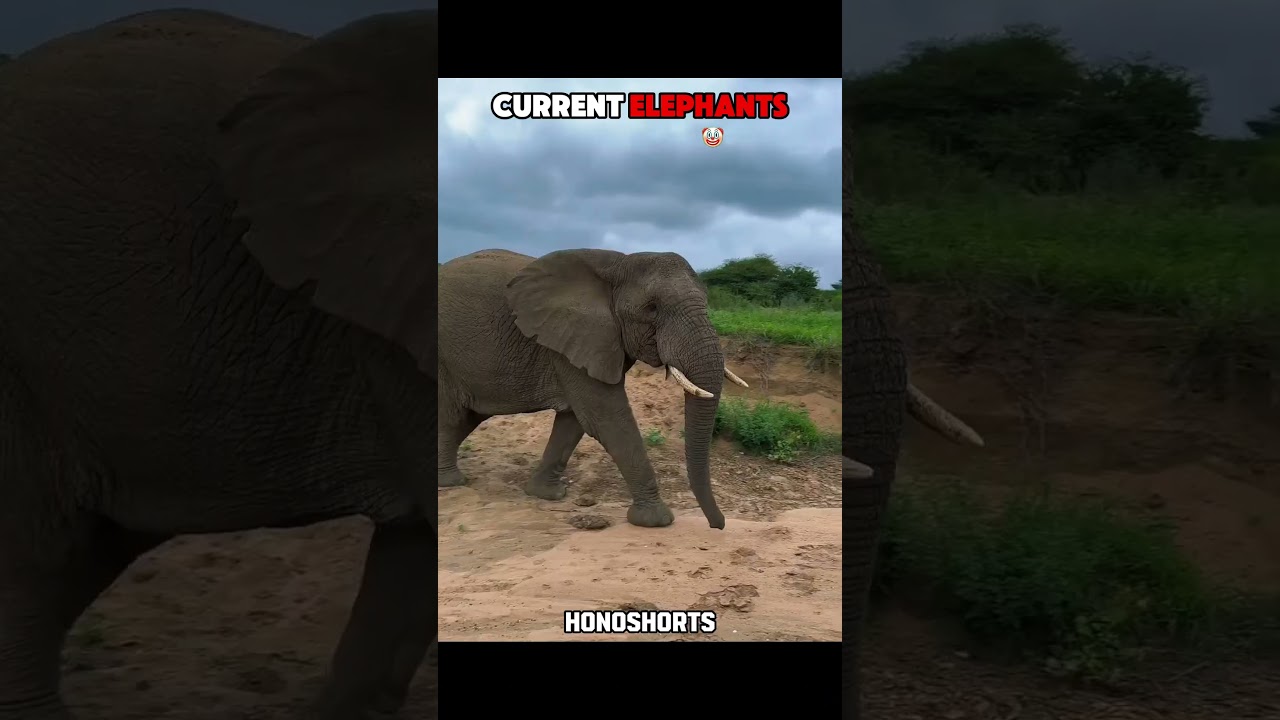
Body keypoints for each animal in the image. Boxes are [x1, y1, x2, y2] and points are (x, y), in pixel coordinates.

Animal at [438, 248, 756, 529]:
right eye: (651, 308)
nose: (718, 526)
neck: (618, 264)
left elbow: (575, 420)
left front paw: (547, 495)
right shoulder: (571, 338)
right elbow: (606, 417)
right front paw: (655, 521)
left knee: (465, 419)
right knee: (451, 417)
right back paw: (450, 482)